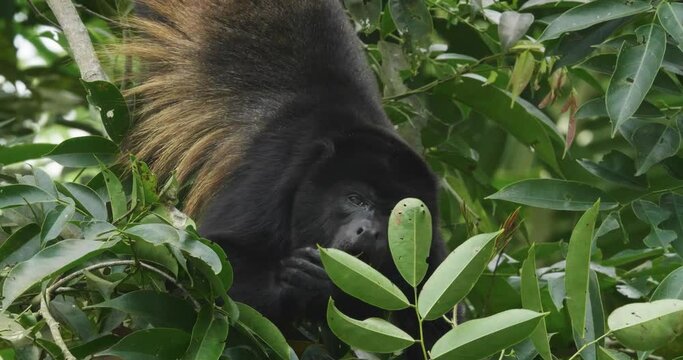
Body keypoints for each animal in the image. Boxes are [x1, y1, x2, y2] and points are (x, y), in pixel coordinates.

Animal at [125, 0, 448, 344]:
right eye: (355, 199)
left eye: (393, 215)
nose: (370, 231)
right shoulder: (280, 163)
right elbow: (210, 260)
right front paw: (299, 284)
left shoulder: (431, 244)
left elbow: (433, 327)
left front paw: (323, 287)